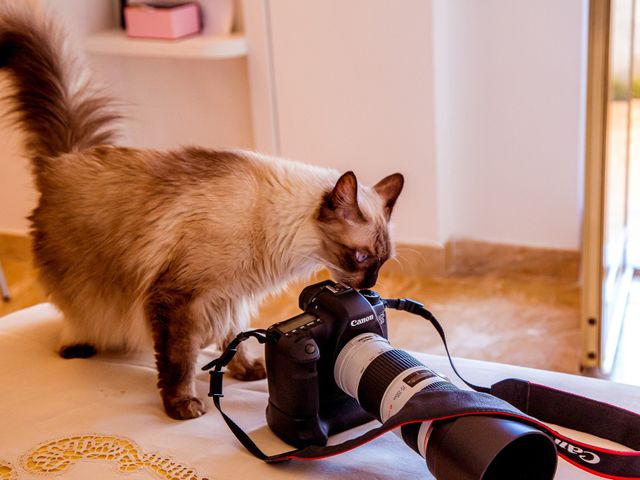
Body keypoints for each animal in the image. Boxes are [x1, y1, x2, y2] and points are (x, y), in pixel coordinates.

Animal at [0, 7, 402, 420]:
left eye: (381, 262)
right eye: (360, 258)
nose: (369, 285)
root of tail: (62, 159)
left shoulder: (229, 299)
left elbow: (233, 340)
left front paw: (248, 371)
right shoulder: (179, 299)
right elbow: (181, 360)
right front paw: (183, 406)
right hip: (86, 280)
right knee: (74, 310)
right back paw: (77, 345)